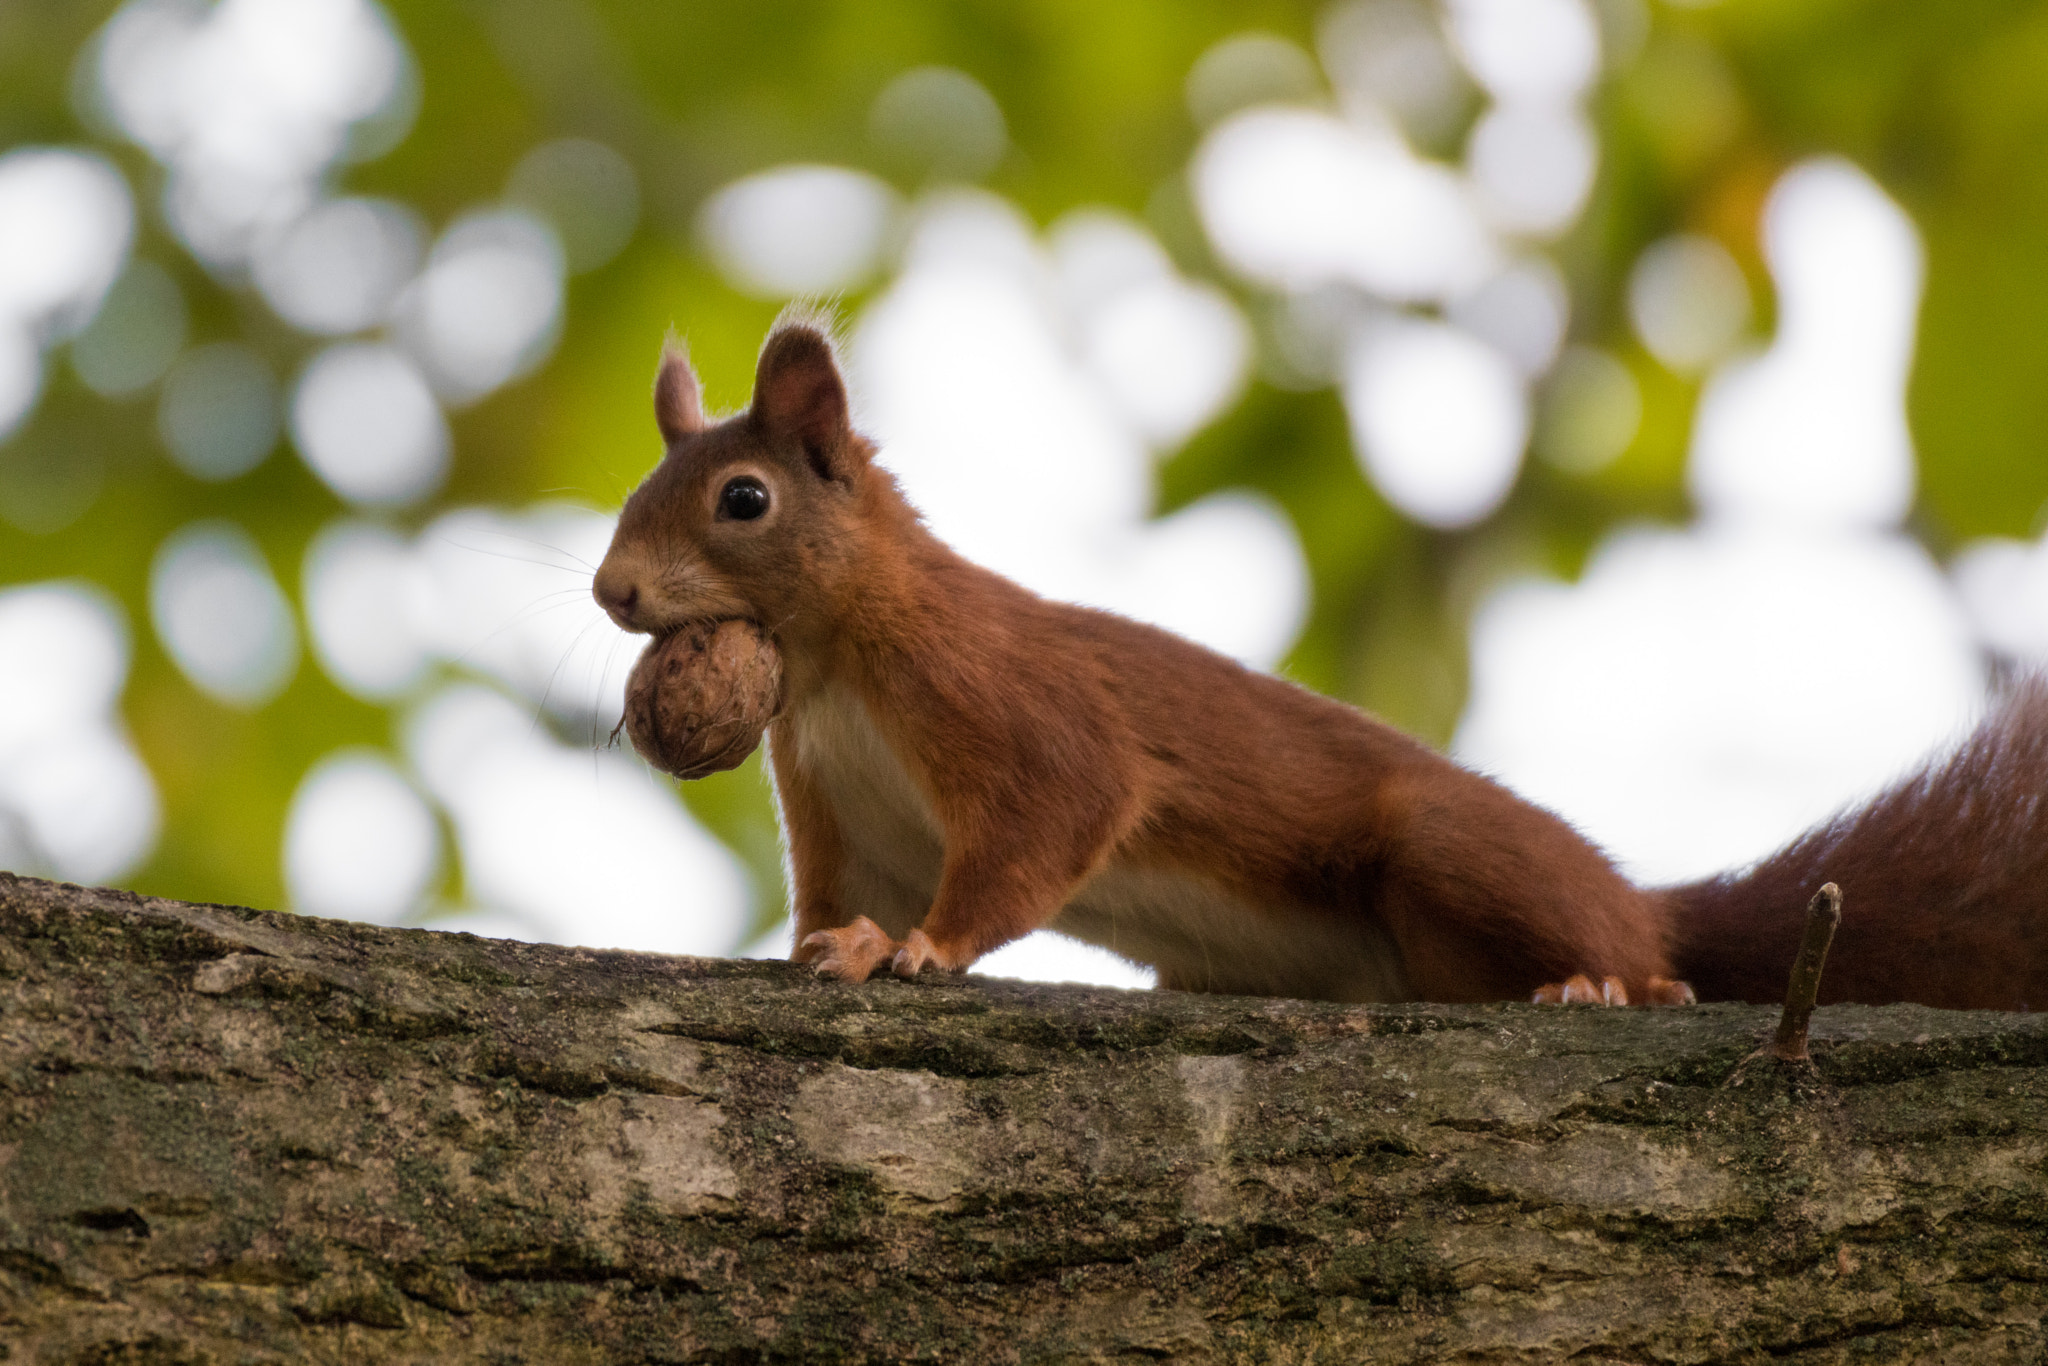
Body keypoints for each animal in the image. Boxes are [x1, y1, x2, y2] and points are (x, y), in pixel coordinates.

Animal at [593, 313, 2047, 1012]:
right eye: (637, 486)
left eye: (741, 500)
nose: (611, 589)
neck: (833, 663)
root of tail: (1644, 903)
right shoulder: (843, 800)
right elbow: (842, 891)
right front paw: (831, 944)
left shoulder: (1001, 695)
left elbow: (1050, 817)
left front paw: (923, 948)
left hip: (1452, 849)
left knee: (1655, 964)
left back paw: (1608, 978)